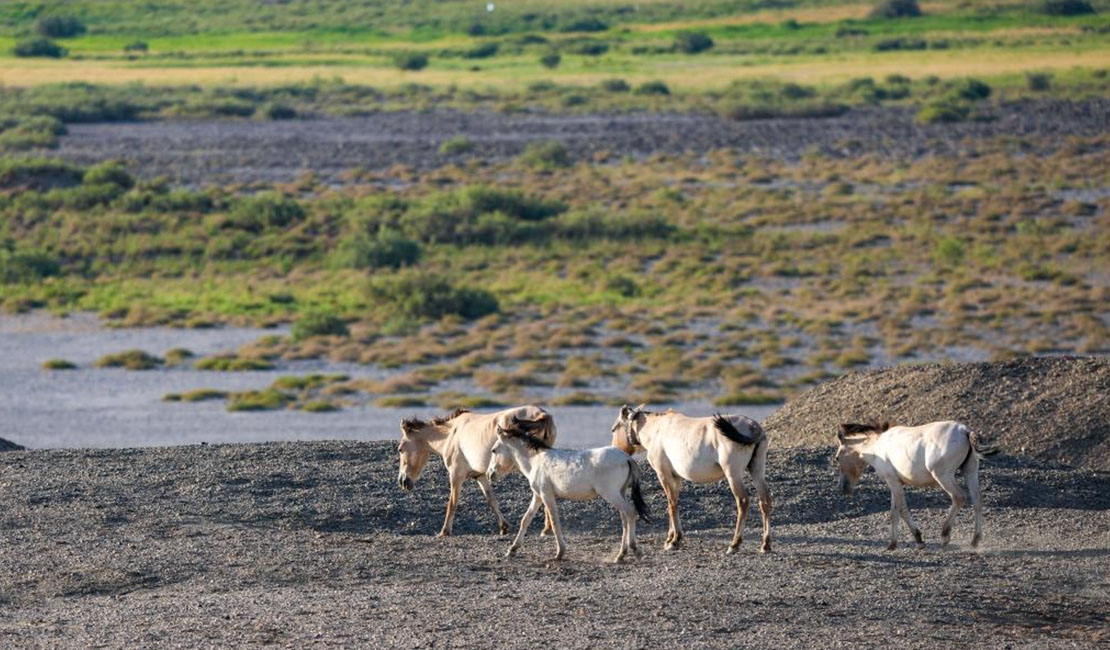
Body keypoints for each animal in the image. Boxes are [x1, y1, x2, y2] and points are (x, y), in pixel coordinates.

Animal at [397, 405, 557, 537]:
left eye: (400, 449)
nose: (402, 481)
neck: (451, 434)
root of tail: (543, 415)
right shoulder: (480, 476)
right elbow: (491, 500)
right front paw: (503, 527)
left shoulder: (456, 476)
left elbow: (452, 503)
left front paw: (444, 531)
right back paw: (547, 529)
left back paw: (547, 529)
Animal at [488, 422, 651, 563]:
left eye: (494, 450)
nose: (490, 475)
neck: (535, 461)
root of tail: (626, 458)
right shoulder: (538, 496)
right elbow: (526, 519)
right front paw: (512, 549)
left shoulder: (547, 495)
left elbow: (554, 522)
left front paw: (560, 552)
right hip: (620, 493)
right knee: (625, 518)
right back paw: (621, 555)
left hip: (611, 494)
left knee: (630, 512)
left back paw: (634, 550)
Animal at [611, 405, 772, 554]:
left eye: (614, 429)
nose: (616, 450)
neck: (656, 429)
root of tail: (752, 426)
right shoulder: (676, 478)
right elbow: (673, 503)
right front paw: (670, 538)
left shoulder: (663, 474)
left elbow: (671, 503)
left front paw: (675, 540)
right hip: (757, 470)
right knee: (764, 501)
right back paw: (765, 544)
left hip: (733, 474)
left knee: (743, 502)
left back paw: (734, 544)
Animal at [835, 420, 997, 550]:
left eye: (837, 458)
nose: (843, 488)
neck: (878, 446)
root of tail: (965, 430)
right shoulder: (894, 483)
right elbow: (894, 513)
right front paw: (892, 544)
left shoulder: (893, 482)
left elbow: (902, 510)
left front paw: (919, 539)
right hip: (970, 472)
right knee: (977, 501)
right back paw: (975, 540)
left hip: (943, 476)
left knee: (959, 498)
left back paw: (945, 535)